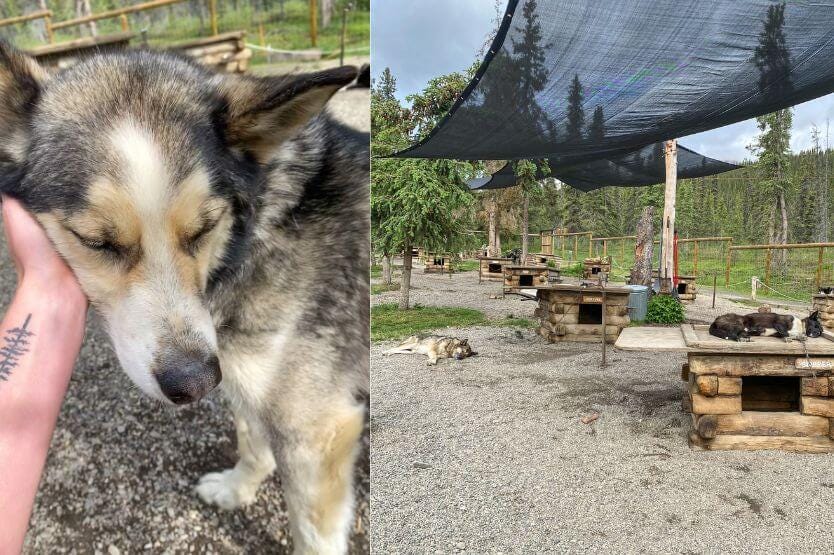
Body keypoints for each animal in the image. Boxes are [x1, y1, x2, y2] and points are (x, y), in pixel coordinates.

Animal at [0, 41, 368, 552]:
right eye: (97, 241)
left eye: (203, 228)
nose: (194, 383)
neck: (255, 236)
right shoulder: (245, 378)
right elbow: (253, 442)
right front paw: (237, 490)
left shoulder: (317, 428)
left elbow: (313, 534)